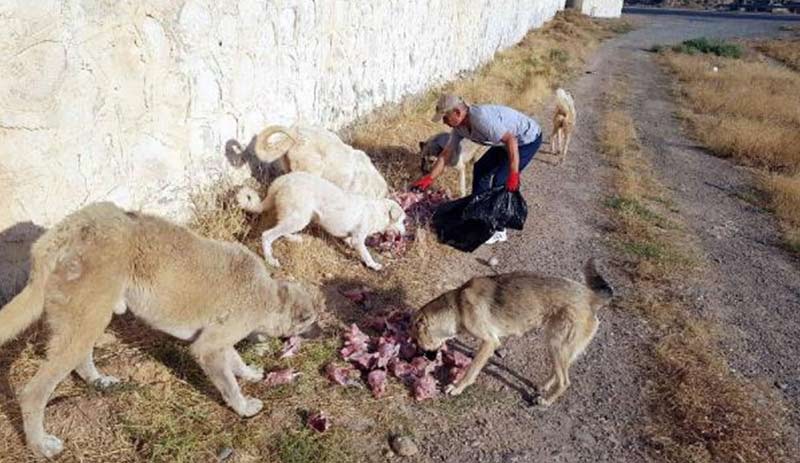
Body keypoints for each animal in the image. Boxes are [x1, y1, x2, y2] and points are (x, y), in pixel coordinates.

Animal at [0, 203, 318, 460]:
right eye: (311, 322)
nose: (322, 335)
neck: (268, 296)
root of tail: (61, 236)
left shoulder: (217, 340)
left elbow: (235, 362)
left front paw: (250, 373)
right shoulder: (209, 347)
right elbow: (228, 384)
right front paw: (243, 407)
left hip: (88, 318)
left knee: (82, 357)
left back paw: (99, 382)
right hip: (87, 317)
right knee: (33, 393)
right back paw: (40, 445)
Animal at [234, 172, 404, 272]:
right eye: (403, 221)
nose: (405, 233)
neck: (377, 211)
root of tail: (283, 179)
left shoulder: (349, 236)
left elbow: (348, 241)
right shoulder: (358, 238)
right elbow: (366, 254)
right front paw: (374, 265)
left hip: (297, 217)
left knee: (282, 230)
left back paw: (293, 238)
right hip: (299, 218)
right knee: (267, 235)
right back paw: (270, 259)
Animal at [412, 260, 612, 408]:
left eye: (417, 342)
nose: (423, 358)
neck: (457, 305)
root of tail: (591, 297)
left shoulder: (488, 342)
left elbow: (472, 369)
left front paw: (457, 387)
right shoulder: (492, 342)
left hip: (557, 344)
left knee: (565, 382)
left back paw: (546, 401)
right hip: (557, 344)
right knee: (559, 372)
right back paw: (543, 386)